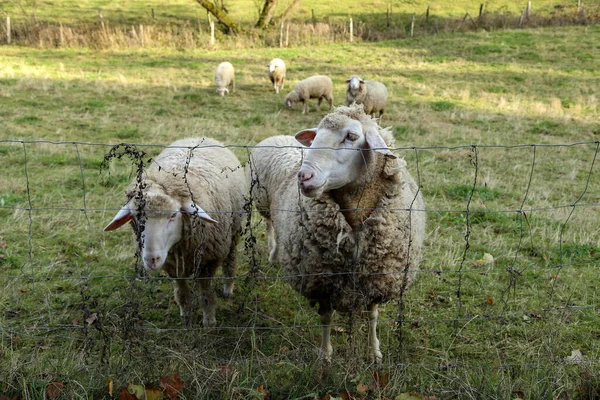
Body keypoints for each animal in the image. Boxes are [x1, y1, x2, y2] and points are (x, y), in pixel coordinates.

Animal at [103, 138, 246, 328]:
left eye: (173, 215)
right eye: (135, 217)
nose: (151, 259)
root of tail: (199, 136)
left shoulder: (209, 260)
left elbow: (206, 294)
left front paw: (209, 321)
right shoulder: (172, 266)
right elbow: (182, 293)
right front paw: (186, 316)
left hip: (234, 231)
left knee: (230, 259)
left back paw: (228, 287)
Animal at [248, 104, 426, 362]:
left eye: (351, 136)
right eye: (315, 137)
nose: (303, 177)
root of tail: (278, 136)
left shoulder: (376, 278)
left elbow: (372, 316)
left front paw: (374, 352)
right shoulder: (322, 282)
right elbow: (326, 318)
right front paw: (325, 356)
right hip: (264, 201)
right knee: (270, 224)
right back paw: (273, 253)